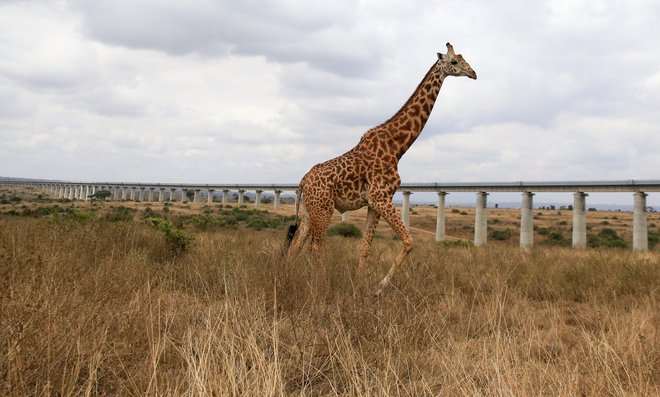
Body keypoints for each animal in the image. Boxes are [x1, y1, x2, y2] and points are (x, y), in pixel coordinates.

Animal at [286, 42, 476, 294]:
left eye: (464, 59)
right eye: (454, 61)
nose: (474, 73)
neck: (397, 147)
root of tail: (302, 181)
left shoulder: (374, 204)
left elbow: (365, 247)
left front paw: (358, 287)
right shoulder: (381, 197)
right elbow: (409, 241)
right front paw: (378, 288)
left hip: (309, 210)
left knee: (296, 245)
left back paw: (287, 280)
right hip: (323, 208)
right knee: (314, 246)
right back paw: (323, 285)